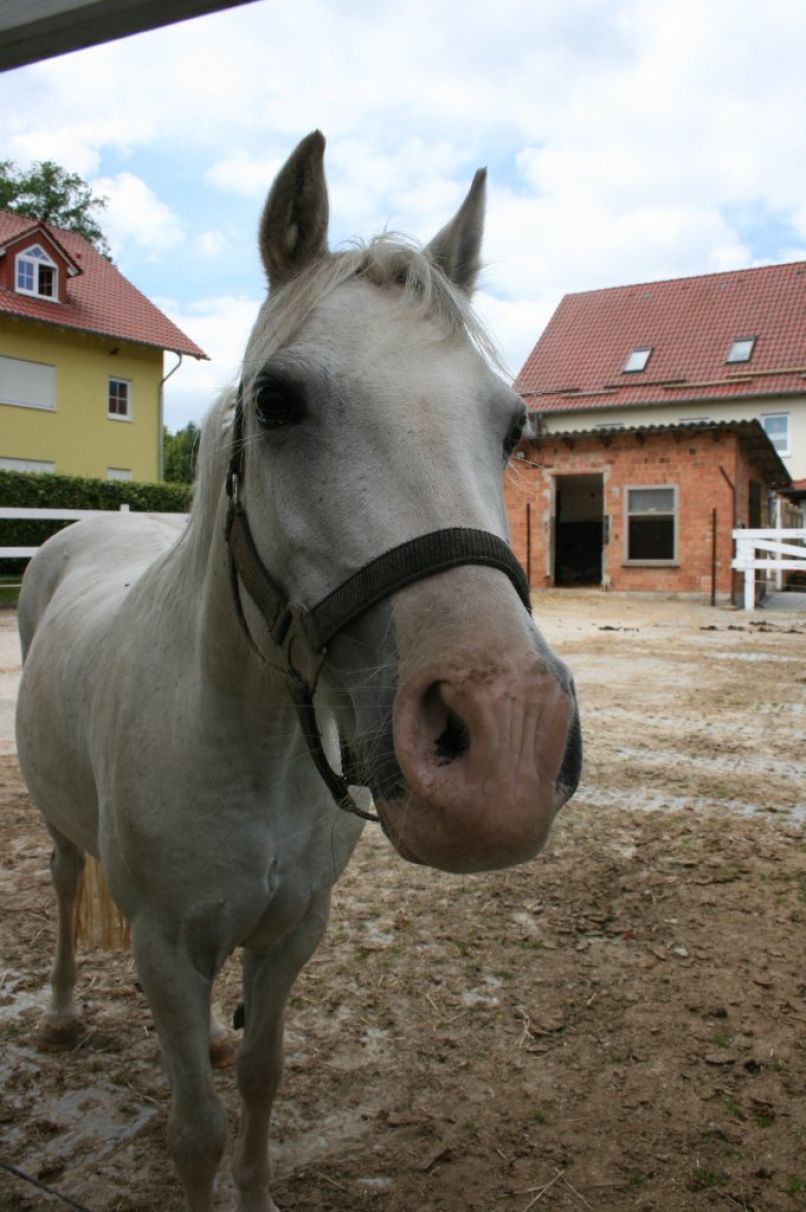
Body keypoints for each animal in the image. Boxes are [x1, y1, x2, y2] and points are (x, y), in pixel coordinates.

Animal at [15, 132, 581, 1212]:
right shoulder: (163, 949)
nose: (506, 746)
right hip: (63, 829)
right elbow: (196, 1131)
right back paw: (61, 1011)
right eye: (277, 401)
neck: (253, 748)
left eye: (511, 424)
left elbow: (264, 1077)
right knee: (64, 888)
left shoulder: (292, 934)